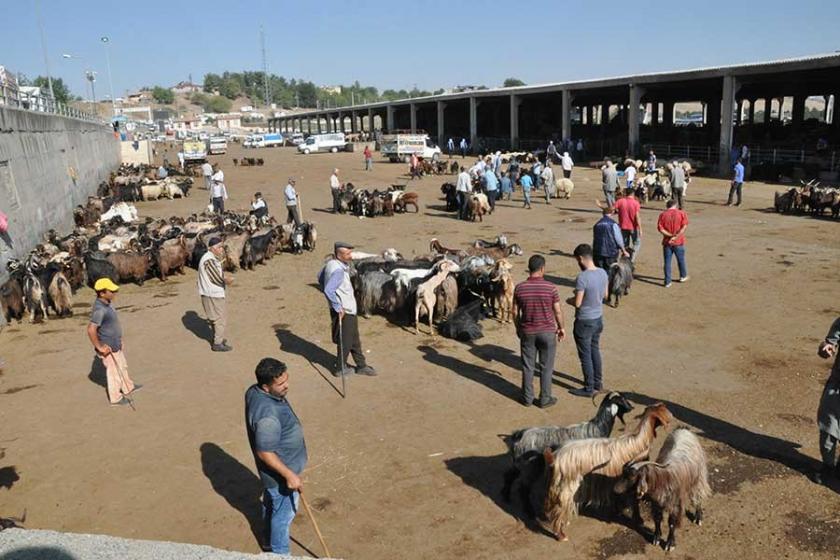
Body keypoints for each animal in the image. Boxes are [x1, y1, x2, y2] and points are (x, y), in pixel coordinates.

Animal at [502, 390, 632, 516]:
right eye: (622, 399)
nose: (631, 407)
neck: (597, 427)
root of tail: (519, 435)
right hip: (531, 467)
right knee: (524, 488)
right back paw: (529, 512)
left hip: (518, 463)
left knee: (509, 475)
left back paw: (506, 497)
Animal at [540, 402, 672, 544]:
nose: (671, 417)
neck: (638, 441)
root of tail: (555, 457)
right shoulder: (631, 480)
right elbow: (634, 503)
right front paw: (638, 519)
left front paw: (618, 511)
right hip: (568, 488)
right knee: (559, 510)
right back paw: (561, 535)